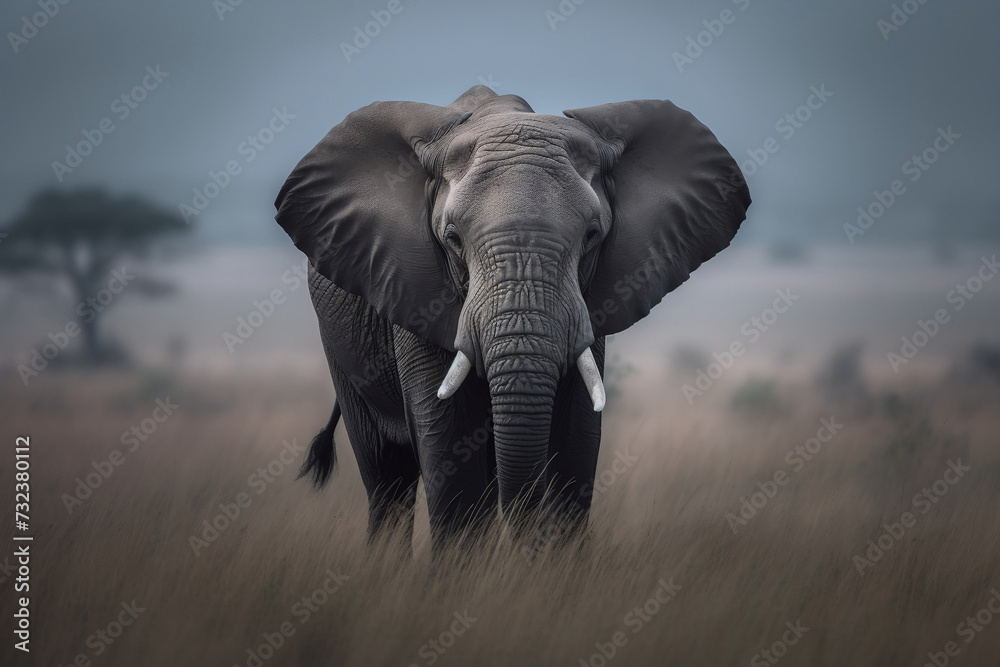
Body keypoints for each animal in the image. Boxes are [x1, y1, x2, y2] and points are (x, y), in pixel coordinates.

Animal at [273, 85, 750, 554]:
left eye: (592, 236)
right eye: (452, 239)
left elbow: (576, 434)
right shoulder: (415, 290)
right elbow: (447, 435)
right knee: (386, 477)